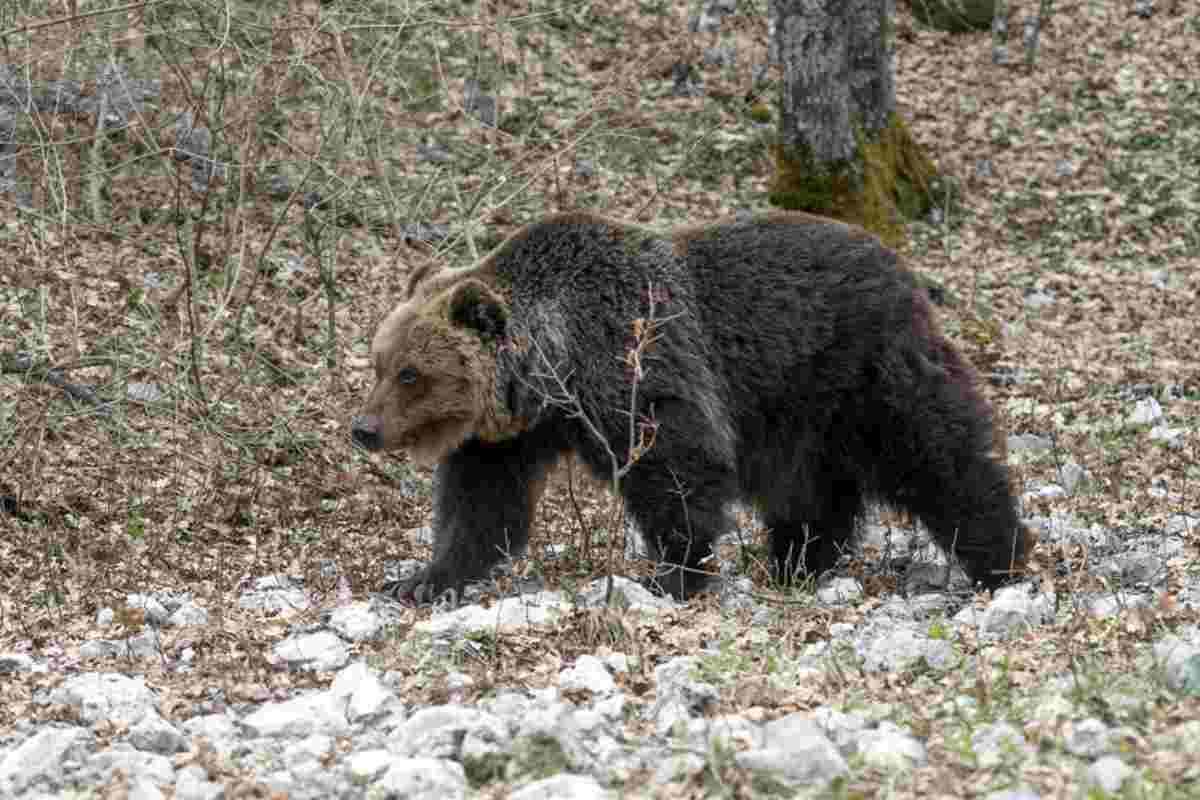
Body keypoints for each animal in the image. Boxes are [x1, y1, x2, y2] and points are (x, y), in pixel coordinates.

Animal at [350, 211, 1032, 599]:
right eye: (379, 362)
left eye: (411, 373)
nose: (364, 428)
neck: (555, 370)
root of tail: (901, 265)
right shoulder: (508, 434)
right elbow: (479, 506)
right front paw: (421, 580)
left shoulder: (637, 366)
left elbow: (677, 466)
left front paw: (674, 573)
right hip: (801, 409)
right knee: (811, 488)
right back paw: (796, 563)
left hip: (861, 367)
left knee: (936, 451)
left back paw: (999, 555)